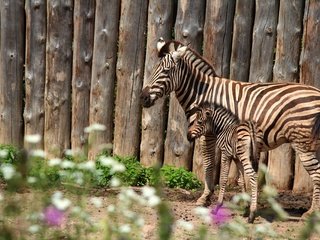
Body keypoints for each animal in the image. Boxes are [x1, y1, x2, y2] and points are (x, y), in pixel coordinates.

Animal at [141, 38, 320, 219]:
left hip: (302, 143)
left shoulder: (208, 133)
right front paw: (244, 203)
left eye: (166, 71)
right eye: (153, 69)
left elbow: (209, 163)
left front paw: (205, 198)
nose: (143, 98)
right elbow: (239, 174)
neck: (201, 93)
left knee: (317, 173)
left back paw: (312, 213)